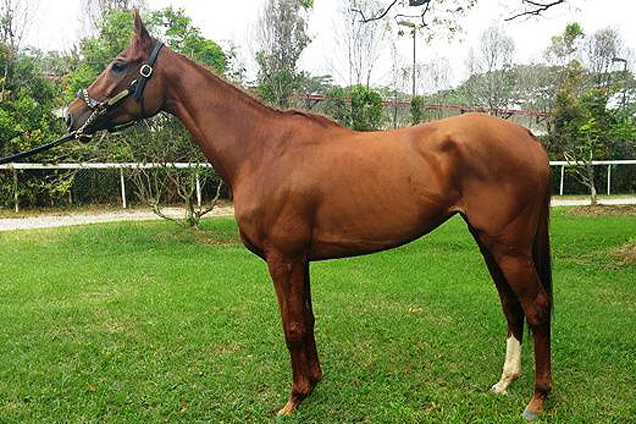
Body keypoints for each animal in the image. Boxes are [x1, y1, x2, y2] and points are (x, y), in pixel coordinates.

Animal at [66, 10, 552, 420]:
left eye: (119, 65)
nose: (71, 116)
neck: (261, 148)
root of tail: (529, 136)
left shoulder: (282, 258)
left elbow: (293, 325)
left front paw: (294, 398)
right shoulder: (300, 258)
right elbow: (308, 318)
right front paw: (314, 383)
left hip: (507, 245)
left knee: (537, 305)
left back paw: (537, 398)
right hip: (489, 240)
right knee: (512, 305)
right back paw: (505, 382)